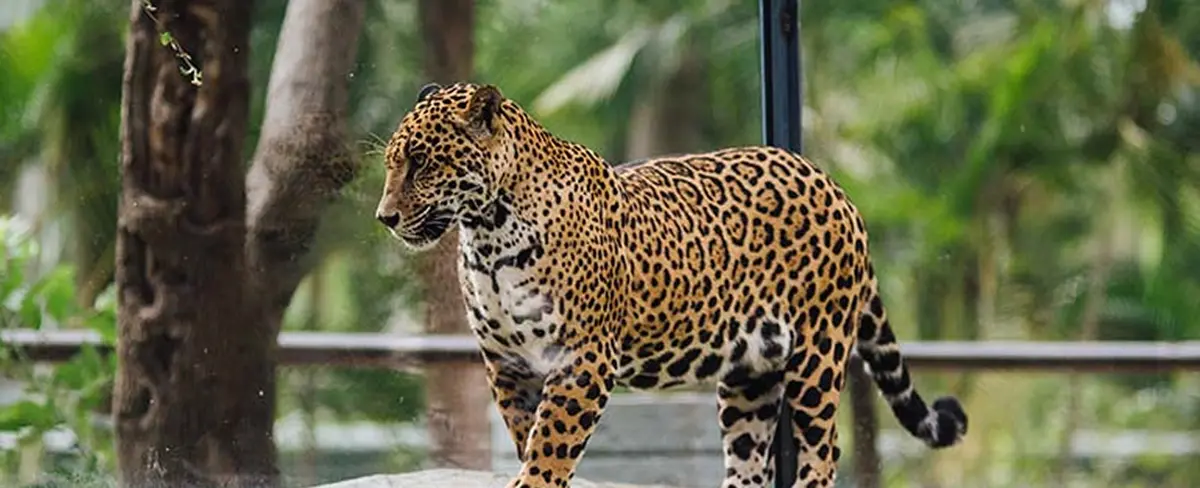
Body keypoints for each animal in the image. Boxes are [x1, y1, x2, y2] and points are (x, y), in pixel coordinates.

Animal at [374, 82, 968, 488]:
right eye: (392, 163)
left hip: (817, 356)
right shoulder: (507, 363)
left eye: (420, 163)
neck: (488, 235)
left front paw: (534, 479)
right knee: (749, 461)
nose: (385, 218)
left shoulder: (583, 358)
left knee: (824, 454)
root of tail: (834, 186)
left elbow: (552, 441)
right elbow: (528, 435)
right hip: (751, 374)